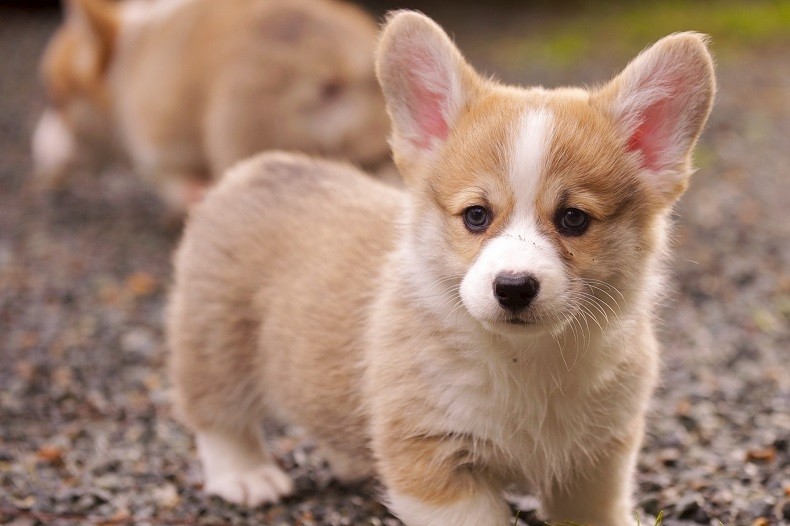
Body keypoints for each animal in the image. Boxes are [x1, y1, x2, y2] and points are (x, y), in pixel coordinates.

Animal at [167, 9, 716, 526]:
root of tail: (262, 166)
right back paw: (246, 476)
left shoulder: (597, 460)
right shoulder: (433, 458)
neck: (526, 361)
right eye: (476, 215)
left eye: (573, 219)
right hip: (215, 342)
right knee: (216, 415)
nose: (514, 287)